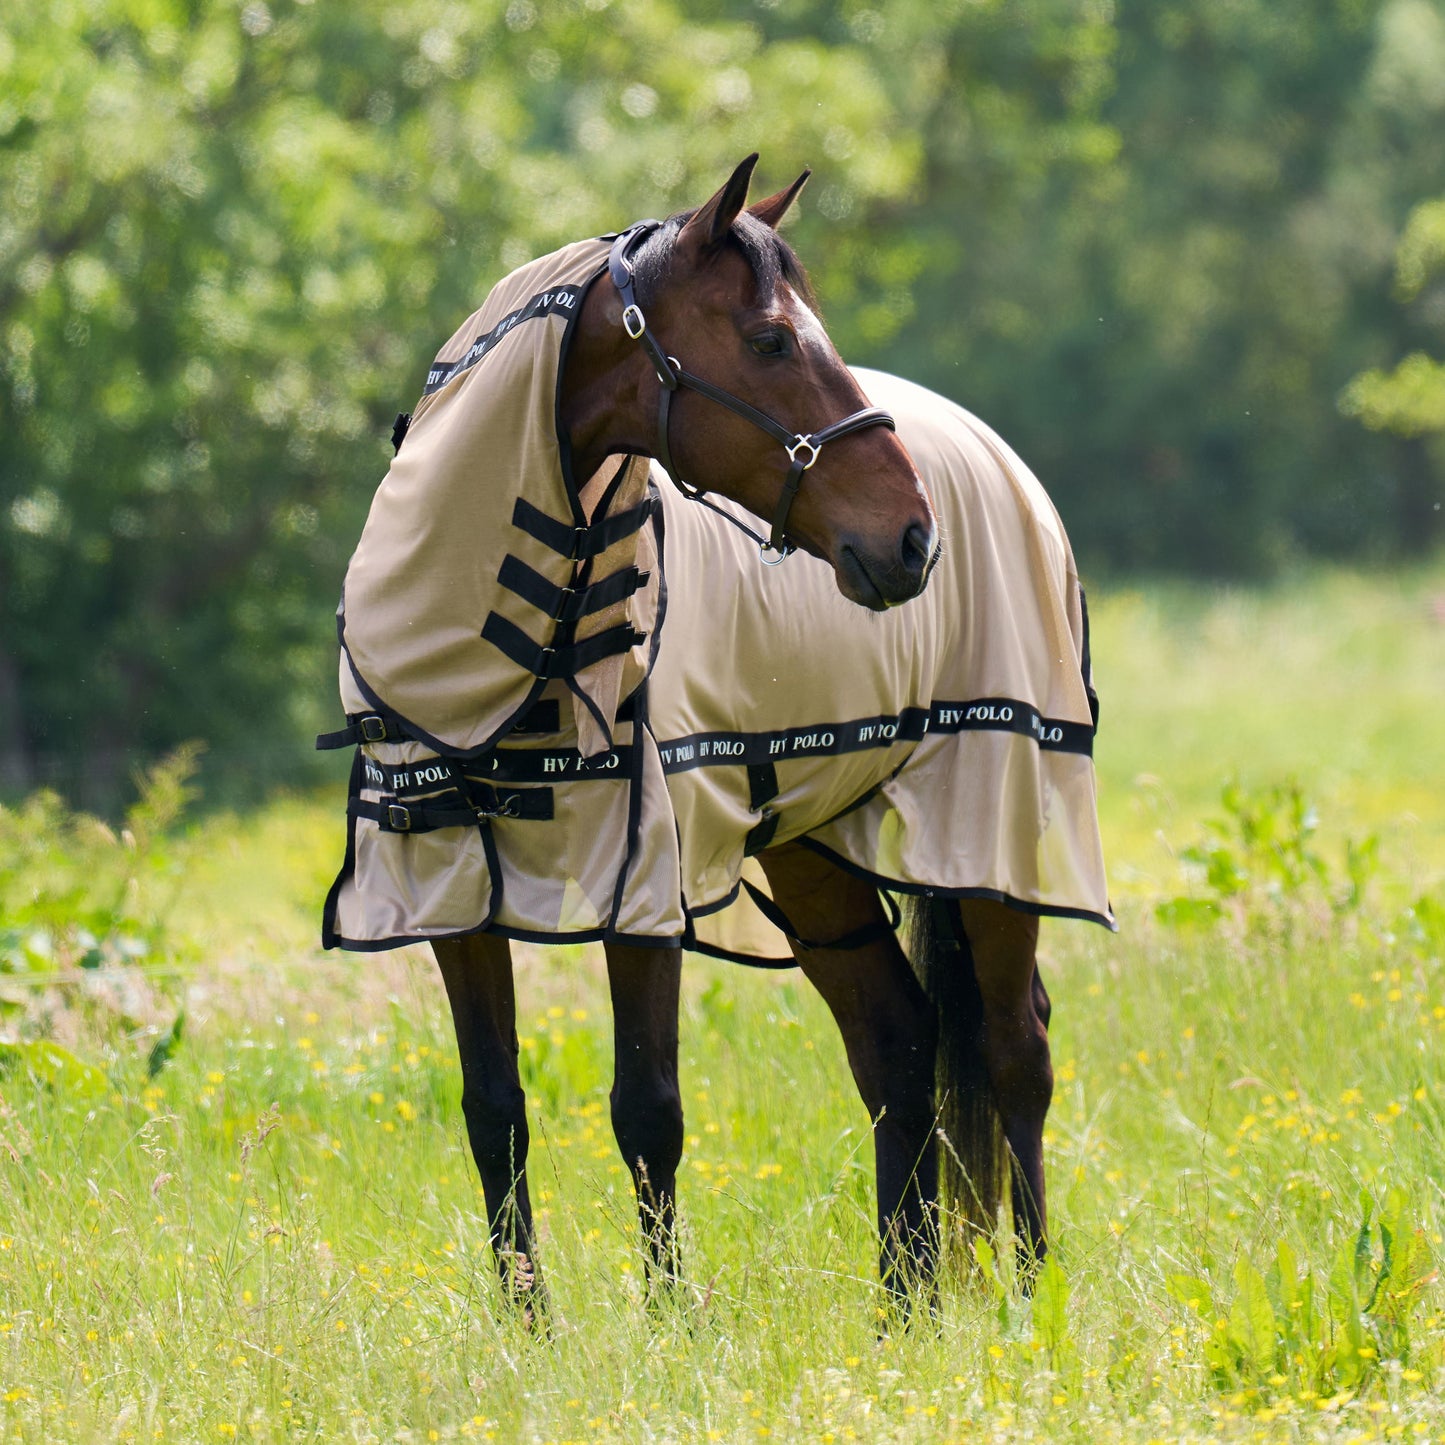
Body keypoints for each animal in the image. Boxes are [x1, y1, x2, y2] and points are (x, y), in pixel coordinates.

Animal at [319, 156, 1110, 1317]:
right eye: (771, 339)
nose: (911, 538)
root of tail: (1001, 466)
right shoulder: (448, 889)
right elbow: (493, 1108)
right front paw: (528, 1328)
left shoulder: (643, 886)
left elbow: (646, 1108)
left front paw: (665, 1325)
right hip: (812, 848)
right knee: (896, 1044)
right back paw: (901, 1307)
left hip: (992, 822)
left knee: (1015, 1048)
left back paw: (1029, 1295)